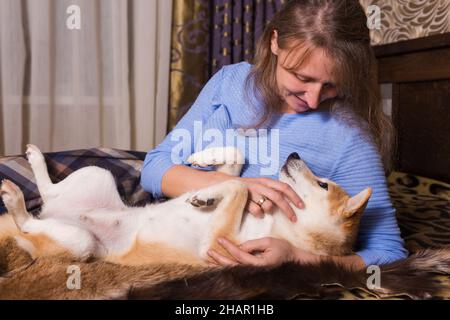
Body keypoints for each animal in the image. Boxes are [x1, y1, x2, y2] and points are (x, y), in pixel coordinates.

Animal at [0, 144, 370, 264]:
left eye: (323, 184)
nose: (293, 154)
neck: (278, 222)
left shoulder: (217, 245)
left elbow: (238, 185)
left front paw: (209, 196)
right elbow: (236, 165)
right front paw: (203, 165)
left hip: (81, 243)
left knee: (28, 221)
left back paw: (15, 199)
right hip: (97, 174)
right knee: (48, 191)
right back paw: (34, 160)